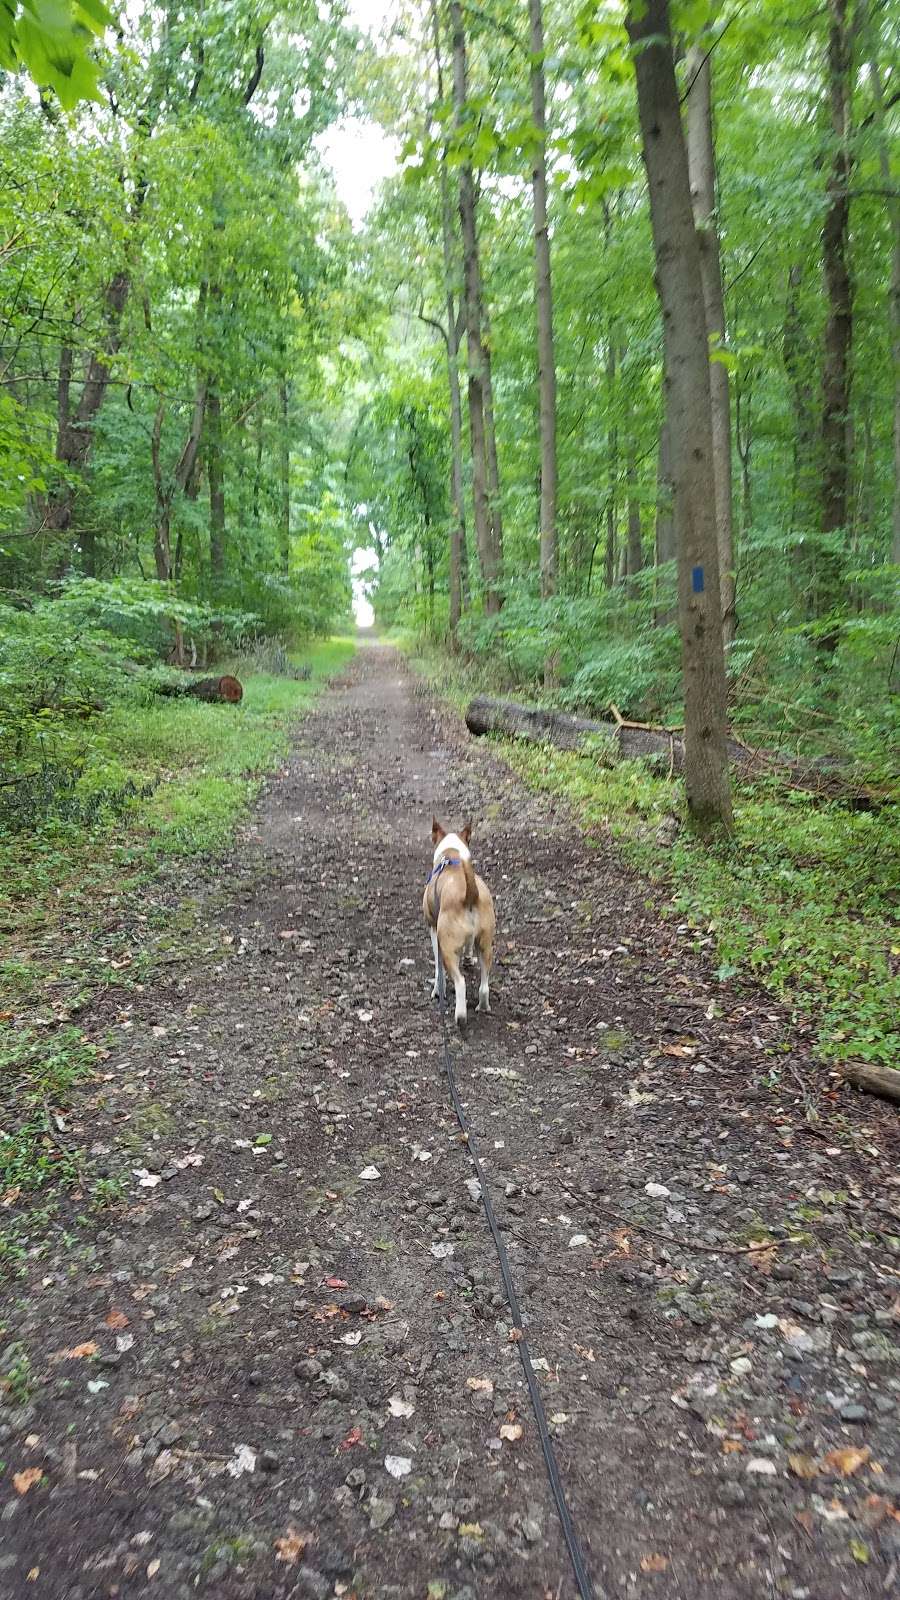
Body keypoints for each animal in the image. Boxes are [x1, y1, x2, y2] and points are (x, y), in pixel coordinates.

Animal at [422, 812, 493, 1024]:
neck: (451, 855)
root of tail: (470, 894)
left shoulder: (434, 930)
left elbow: (438, 969)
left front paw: (438, 990)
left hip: (448, 949)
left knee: (460, 982)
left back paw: (460, 1016)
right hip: (486, 945)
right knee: (484, 984)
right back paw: (483, 1006)